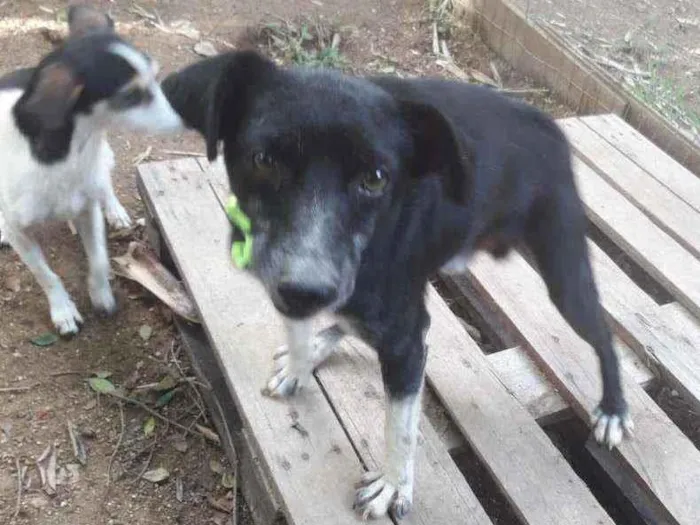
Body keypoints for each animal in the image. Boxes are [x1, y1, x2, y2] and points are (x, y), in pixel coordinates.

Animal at [0, 6, 183, 334]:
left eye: (155, 76)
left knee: (104, 184)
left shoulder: (87, 208)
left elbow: (99, 258)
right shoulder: (20, 231)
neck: (70, 155)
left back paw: (116, 210)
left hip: (105, 158)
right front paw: (63, 310)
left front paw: (101, 294)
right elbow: (45, 274)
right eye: (130, 96)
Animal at [163, 51, 636, 516]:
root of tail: (547, 122)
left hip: (563, 273)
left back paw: (613, 408)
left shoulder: (405, 339)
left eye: (375, 178)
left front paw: (392, 485)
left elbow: (401, 427)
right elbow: (301, 331)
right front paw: (301, 361)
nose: (306, 289)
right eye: (264, 160)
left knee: (603, 333)